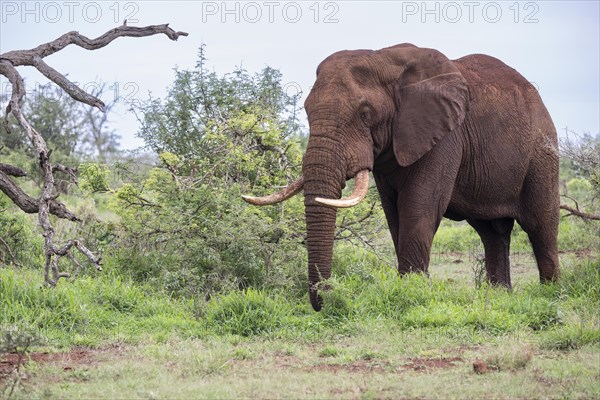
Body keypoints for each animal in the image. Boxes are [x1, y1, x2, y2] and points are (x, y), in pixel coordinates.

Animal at [241, 44, 560, 312]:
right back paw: (499, 298)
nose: (326, 302)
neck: (385, 61)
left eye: (365, 113)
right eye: (306, 110)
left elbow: (419, 208)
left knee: (541, 225)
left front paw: (412, 292)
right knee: (492, 233)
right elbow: (394, 216)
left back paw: (551, 293)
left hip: (542, 152)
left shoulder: (444, 135)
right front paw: (410, 286)